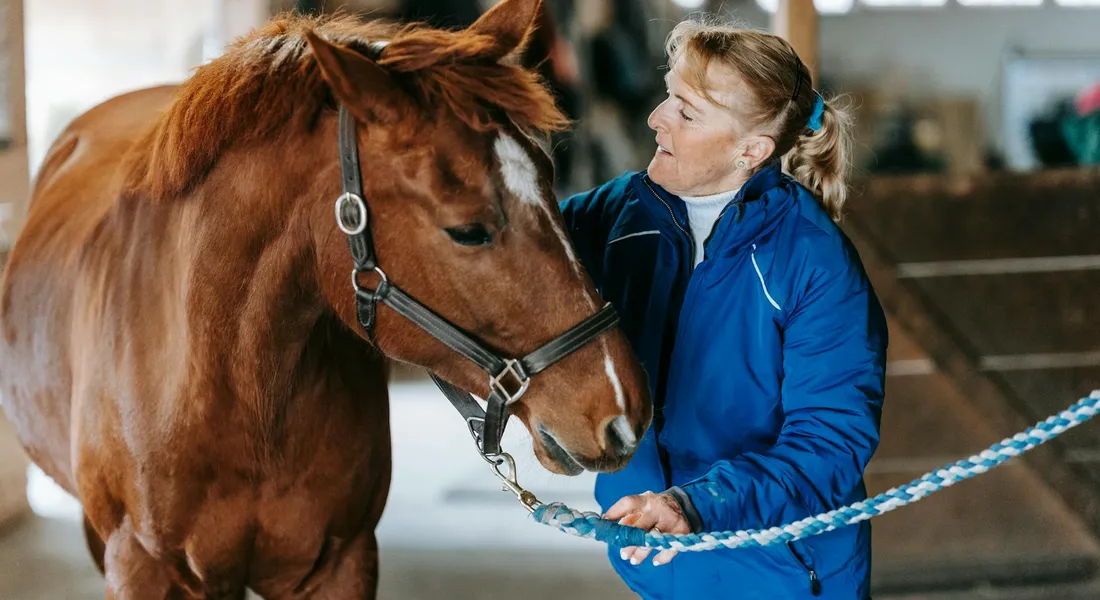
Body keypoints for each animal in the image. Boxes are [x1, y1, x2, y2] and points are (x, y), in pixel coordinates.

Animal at [0, 0, 652, 596]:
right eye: (468, 230)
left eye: (551, 179)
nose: (626, 413)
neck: (232, 392)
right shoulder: (141, 568)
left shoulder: (343, 562)